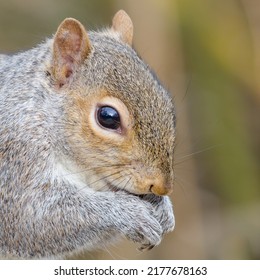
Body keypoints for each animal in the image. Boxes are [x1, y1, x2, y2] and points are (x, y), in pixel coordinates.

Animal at [0, 9, 176, 260]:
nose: (162, 186)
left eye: (168, 104)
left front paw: (163, 207)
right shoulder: (14, 159)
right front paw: (129, 213)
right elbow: (31, 219)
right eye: (108, 117)